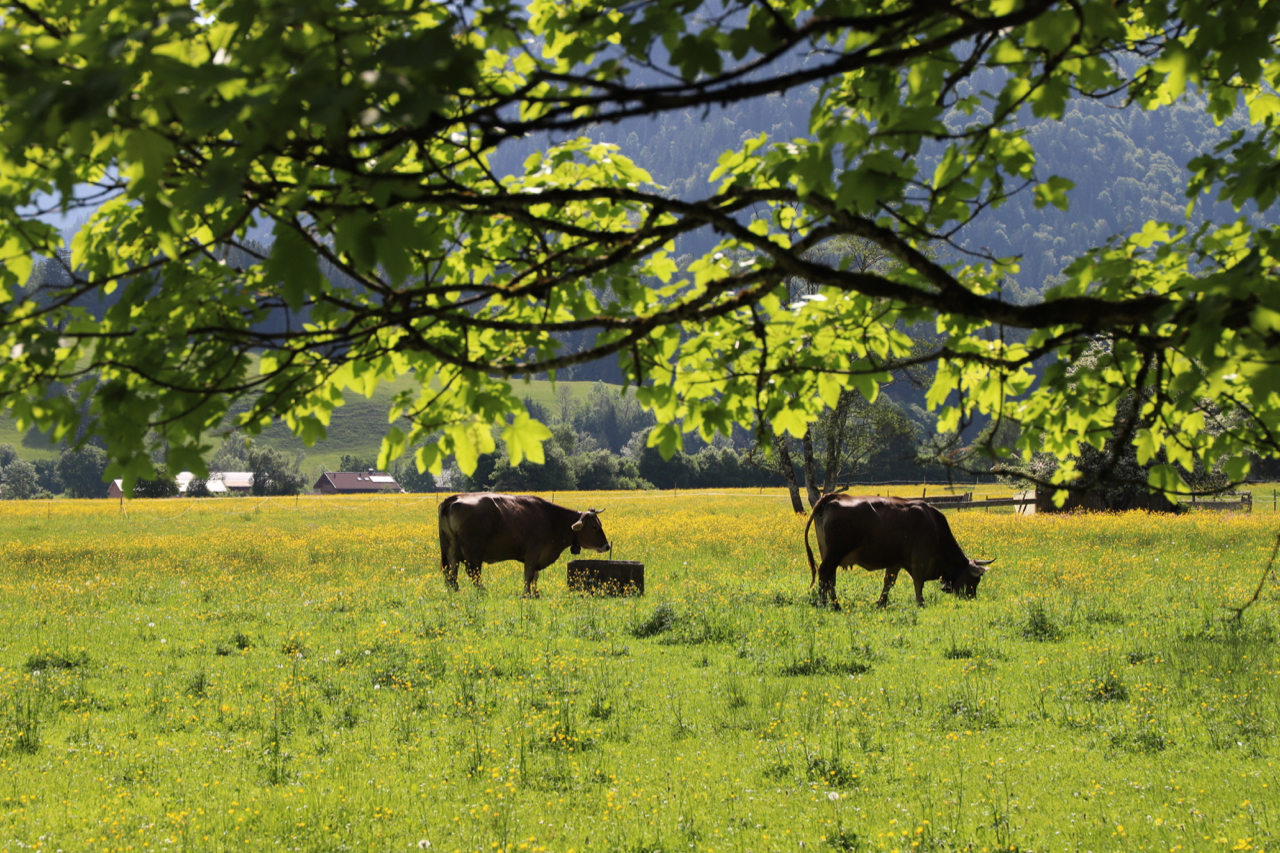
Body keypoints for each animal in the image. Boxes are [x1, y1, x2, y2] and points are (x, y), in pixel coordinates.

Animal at [438, 492, 611, 597]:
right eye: (594, 527)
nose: (607, 546)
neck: (551, 519)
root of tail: (455, 498)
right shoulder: (533, 552)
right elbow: (528, 575)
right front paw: (526, 594)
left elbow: (535, 575)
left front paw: (535, 594)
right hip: (474, 551)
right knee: (473, 572)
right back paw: (483, 591)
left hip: (451, 548)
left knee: (451, 570)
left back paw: (455, 590)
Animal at [803, 494, 994, 611]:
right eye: (974, 580)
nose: (972, 598)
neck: (935, 525)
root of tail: (834, 497)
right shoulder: (920, 559)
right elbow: (918, 582)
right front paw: (920, 603)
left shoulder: (895, 562)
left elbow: (888, 583)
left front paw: (881, 604)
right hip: (834, 554)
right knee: (824, 574)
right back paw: (827, 604)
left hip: (829, 554)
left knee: (830, 579)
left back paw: (833, 604)